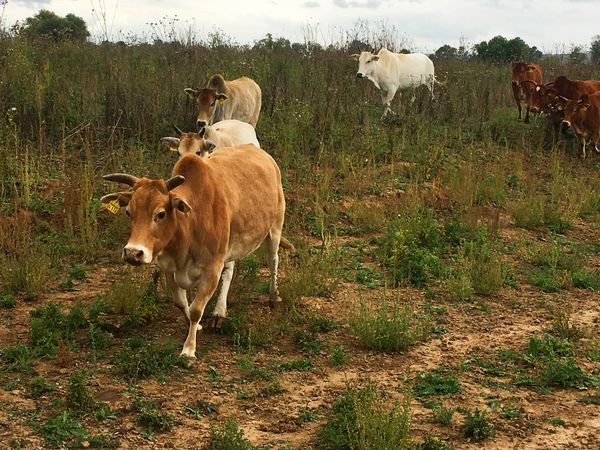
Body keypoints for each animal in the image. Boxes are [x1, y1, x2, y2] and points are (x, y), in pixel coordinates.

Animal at [102, 146, 290, 356]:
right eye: (129, 213)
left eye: (161, 214)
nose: (133, 253)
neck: (190, 223)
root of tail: (258, 150)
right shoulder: (169, 268)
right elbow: (181, 302)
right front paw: (195, 326)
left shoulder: (212, 268)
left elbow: (196, 309)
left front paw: (189, 349)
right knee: (230, 270)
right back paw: (220, 311)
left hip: (275, 227)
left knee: (273, 260)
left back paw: (273, 296)